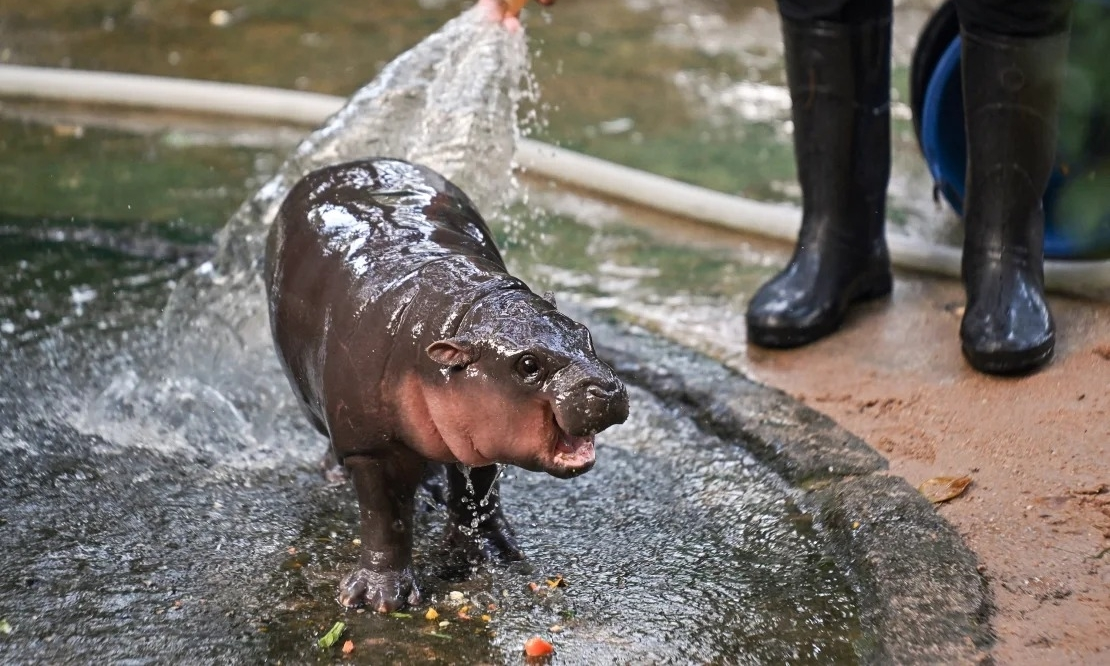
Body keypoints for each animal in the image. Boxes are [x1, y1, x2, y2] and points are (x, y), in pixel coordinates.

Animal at [259, 158, 626, 612]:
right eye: (528, 364)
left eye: (584, 333)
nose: (607, 389)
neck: (462, 313)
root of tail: (346, 164)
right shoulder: (372, 447)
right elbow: (386, 518)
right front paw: (379, 599)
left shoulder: (482, 431)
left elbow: (478, 493)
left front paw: (493, 553)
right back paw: (336, 475)